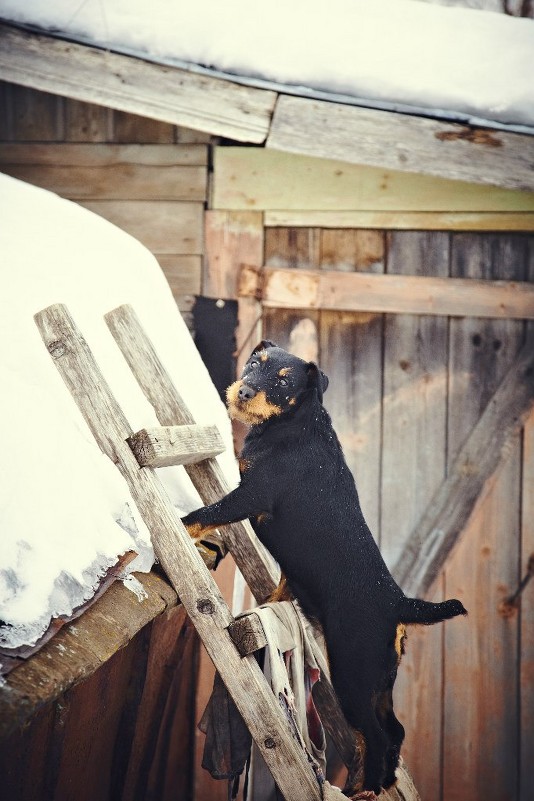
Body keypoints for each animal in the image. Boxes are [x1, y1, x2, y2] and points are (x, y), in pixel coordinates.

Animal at [182, 340, 466, 792]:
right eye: (254, 362)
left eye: (285, 382)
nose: (244, 391)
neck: (293, 425)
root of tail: (400, 604)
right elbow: (284, 580)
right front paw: (273, 598)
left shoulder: (252, 496)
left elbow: (203, 514)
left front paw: (175, 526)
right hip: (378, 678)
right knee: (393, 731)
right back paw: (368, 783)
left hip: (352, 670)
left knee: (377, 732)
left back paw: (367, 788)